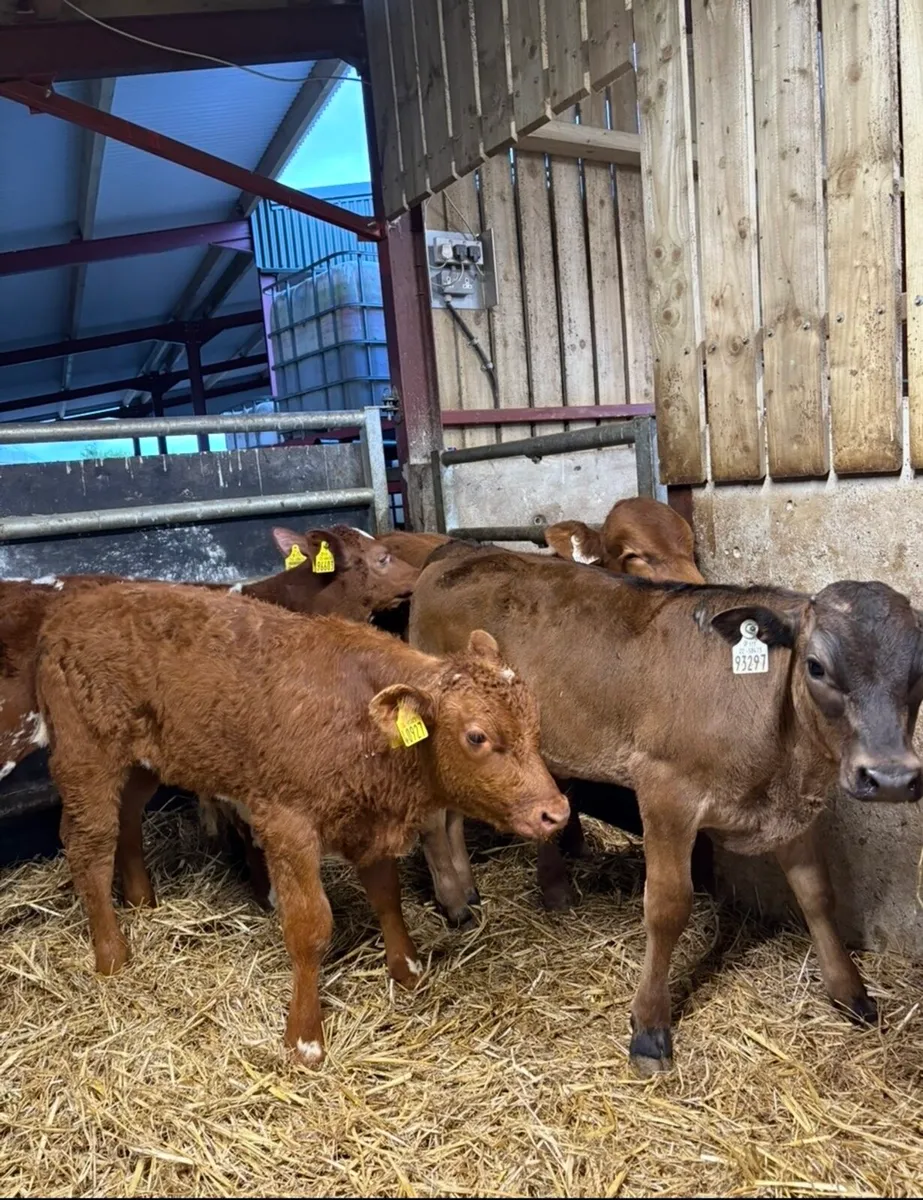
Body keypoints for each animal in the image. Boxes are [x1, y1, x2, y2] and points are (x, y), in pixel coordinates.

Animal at [30, 581, 569, 1066]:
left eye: (536, 721)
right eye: (477, 736)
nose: (556, 812)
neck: (362, 721)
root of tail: (71, 608)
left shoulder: (368, 820)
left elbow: (387, 896)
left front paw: (408, 968)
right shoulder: (287, 824)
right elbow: (310, 927)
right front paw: (305, 1039)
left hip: (145, 760)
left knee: (127, 818)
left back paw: (142, 899)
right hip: (87, 755)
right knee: (89, 845)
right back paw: (111, 955)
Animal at [408, 541, 923, 1074]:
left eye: (919, 670)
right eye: (816, 666)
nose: (890, 777)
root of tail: (458, 550)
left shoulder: (791, 810)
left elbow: (817, 894)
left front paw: (852, 994)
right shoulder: (666, 792)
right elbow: (667, 906)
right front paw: (650, 1027)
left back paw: (516, 892)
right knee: (434, 817)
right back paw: (453, 901)